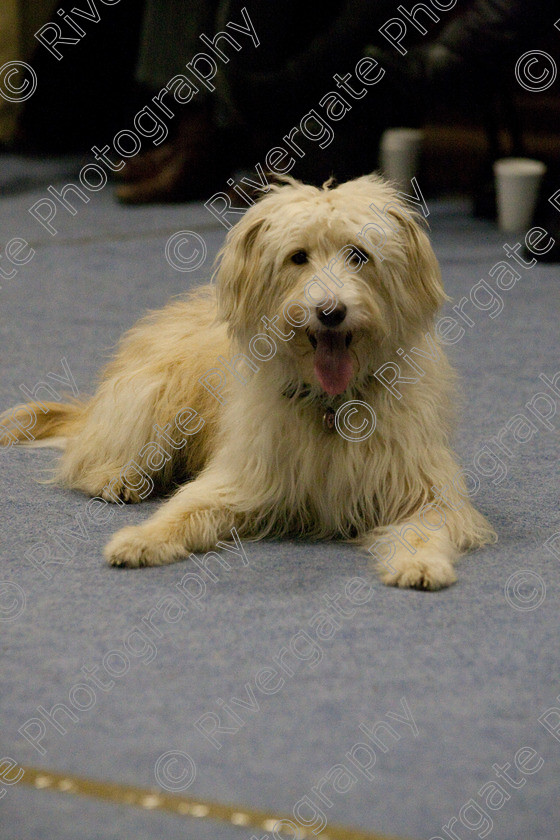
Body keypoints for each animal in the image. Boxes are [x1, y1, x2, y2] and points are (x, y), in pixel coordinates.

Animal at [2, 174, 496, 588]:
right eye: (298, 257)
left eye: (359, 255)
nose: (330, 311)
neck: (332, 405)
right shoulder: (241, 478)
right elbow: (185, 510)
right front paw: (141, 539)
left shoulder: (426, 491)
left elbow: (423, 528)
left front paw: (420, 564)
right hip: (155, 399)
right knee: (93, 454)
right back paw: (118, 477)